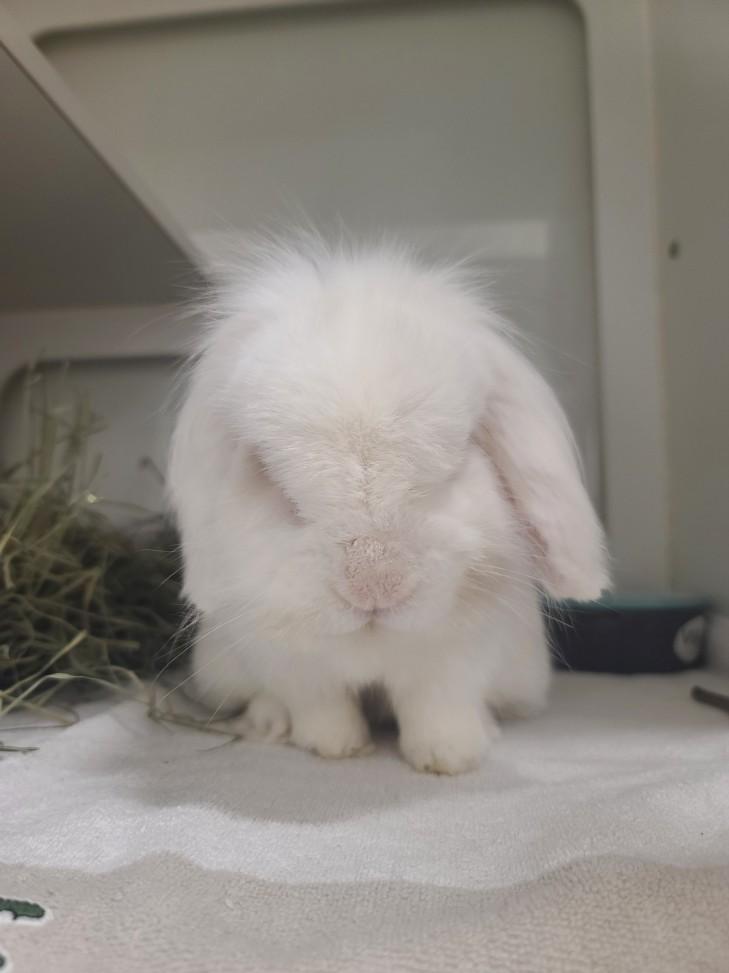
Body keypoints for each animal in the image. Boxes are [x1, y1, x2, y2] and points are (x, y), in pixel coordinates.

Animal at [168, 236, 609, 774]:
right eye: (269, 475)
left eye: (457, 461)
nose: (374, 586)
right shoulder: (293, 666)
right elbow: (321, 707)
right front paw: (336, 748)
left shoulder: (454, 660)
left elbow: (438, 708)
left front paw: (450, 759)